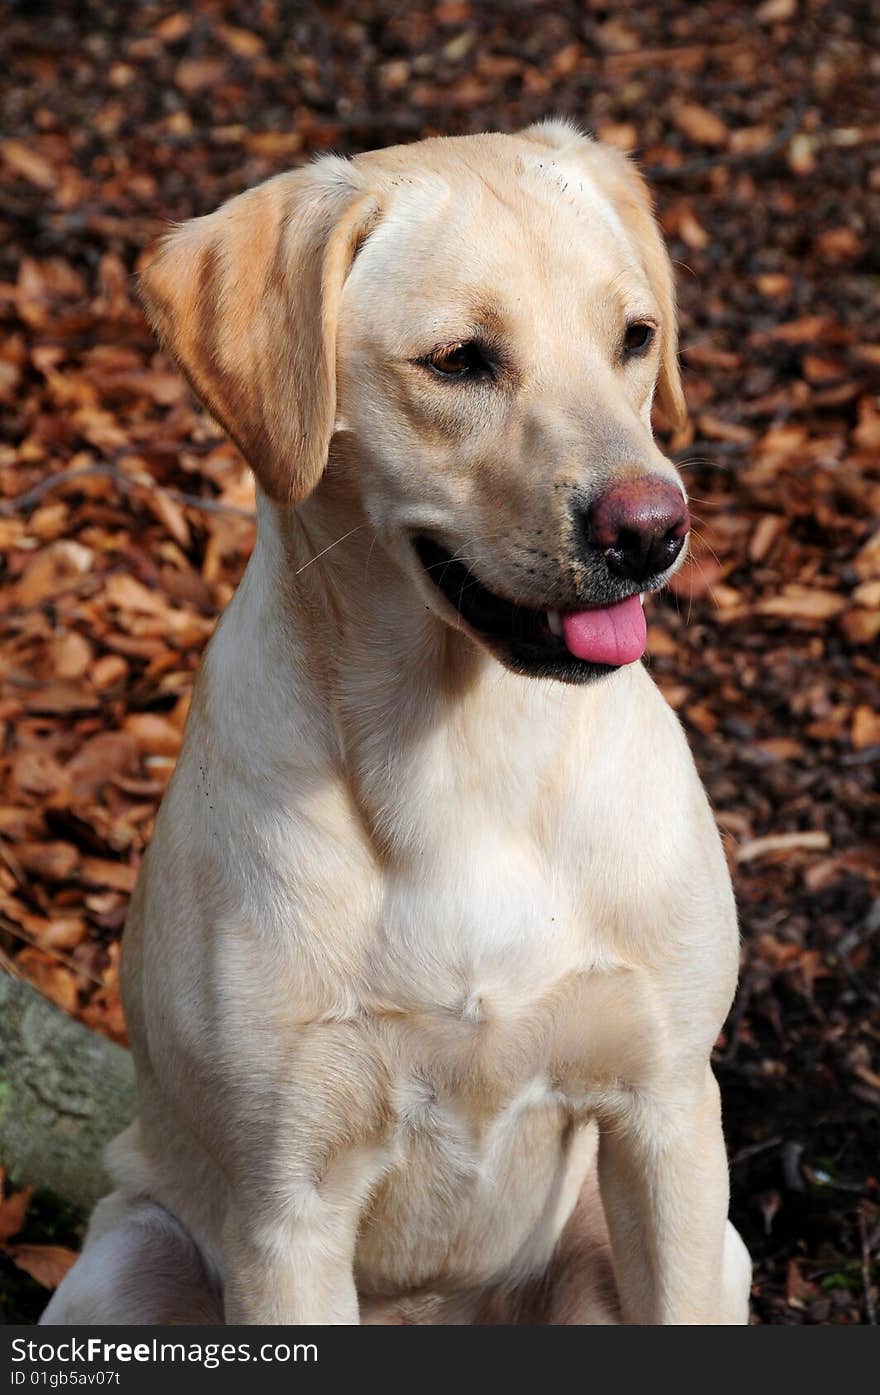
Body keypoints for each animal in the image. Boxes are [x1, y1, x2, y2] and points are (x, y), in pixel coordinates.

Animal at [44, 122, 753, 1328]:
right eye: (459, 360)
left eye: (636, 337)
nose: (655, 529)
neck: (462, 758)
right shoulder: (284, 1215)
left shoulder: (667, 1119)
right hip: (120, 1269)